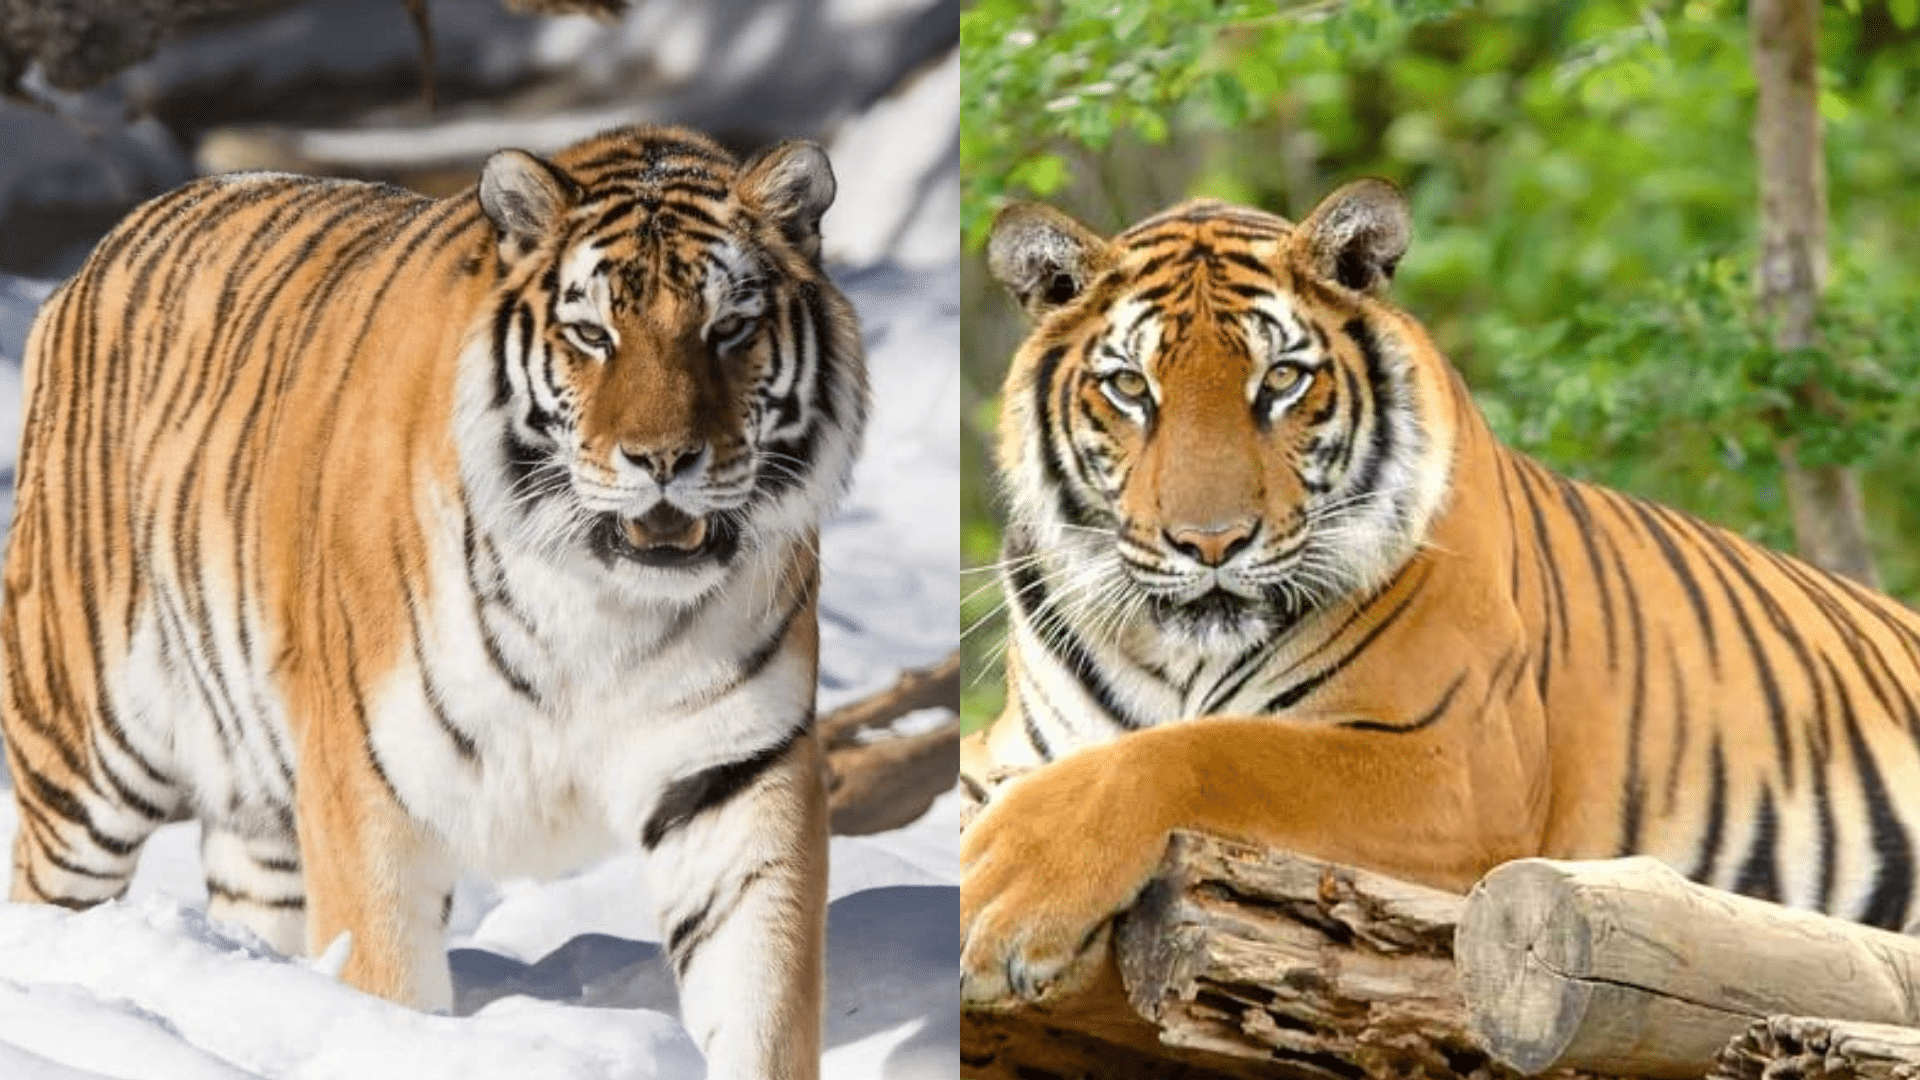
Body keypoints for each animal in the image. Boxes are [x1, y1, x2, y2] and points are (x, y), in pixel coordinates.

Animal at [1, 124, 867, 1079]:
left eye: (730, 329)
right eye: (592, 334)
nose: (663, 460)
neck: (604, 606)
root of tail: (99, 253)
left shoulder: (734, 772)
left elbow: (760, 996)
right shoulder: (367, 792)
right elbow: (388, 983)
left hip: (258, 811)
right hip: (84, 760)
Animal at [959, 180, 1920, 1005]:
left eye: (1281, 381)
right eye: (1130, 387)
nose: (1212, 543)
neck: (1179, 655)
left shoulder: (1452, 761)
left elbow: (1200, 750)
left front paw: (1001, 892)